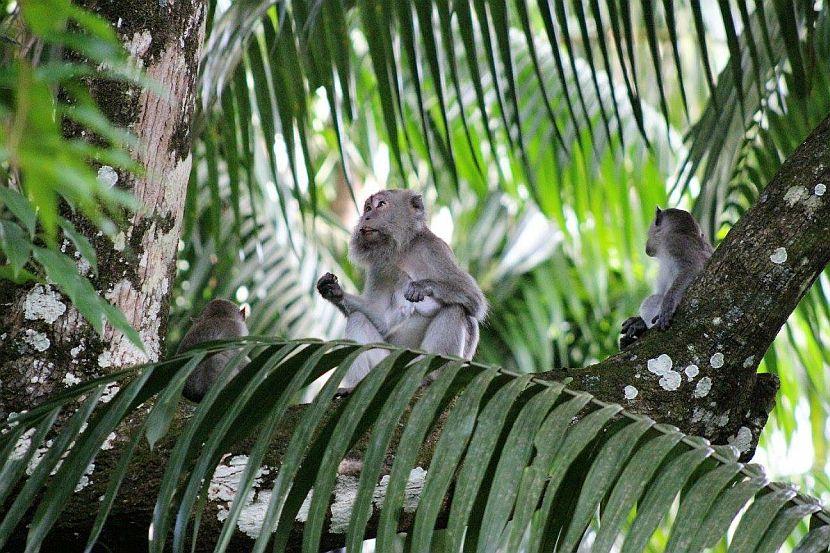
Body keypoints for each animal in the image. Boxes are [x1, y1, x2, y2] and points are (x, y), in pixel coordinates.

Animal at [316, 190, 488, 388]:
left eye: (381, 204)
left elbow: (474, 299)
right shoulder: (379, 266)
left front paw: (423, 286)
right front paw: (334, 291)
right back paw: (355, 387)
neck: (403, 247)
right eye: (368, 207)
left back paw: (429, 377)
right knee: (358, 319)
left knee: (457, 310)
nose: (366, 217)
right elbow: (381, 318)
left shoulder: (435, 250)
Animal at [620, 207, 712, 350]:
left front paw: (669, 303)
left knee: (651, 300)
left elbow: (693, 267)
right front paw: (638, 320)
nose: (646, 245)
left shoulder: (675, 242)